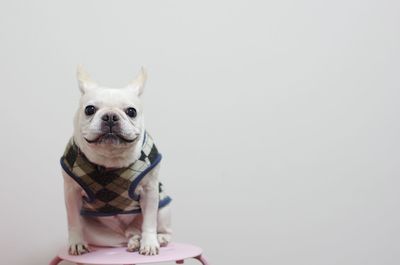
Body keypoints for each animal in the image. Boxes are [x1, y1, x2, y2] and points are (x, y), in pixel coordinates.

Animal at [61, 65, 172, 254]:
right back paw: (134, 241)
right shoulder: (71, 192)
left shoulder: (150, 191)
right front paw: (76, 242)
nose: (111, 116)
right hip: (100, 234)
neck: (110, 159)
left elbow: (149, 221)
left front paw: (149, 243)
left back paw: (159, 238)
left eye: (131, 111)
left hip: (163, 207)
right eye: (89, 109)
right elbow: (72, 220)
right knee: (126, 236)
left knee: (164, 229)